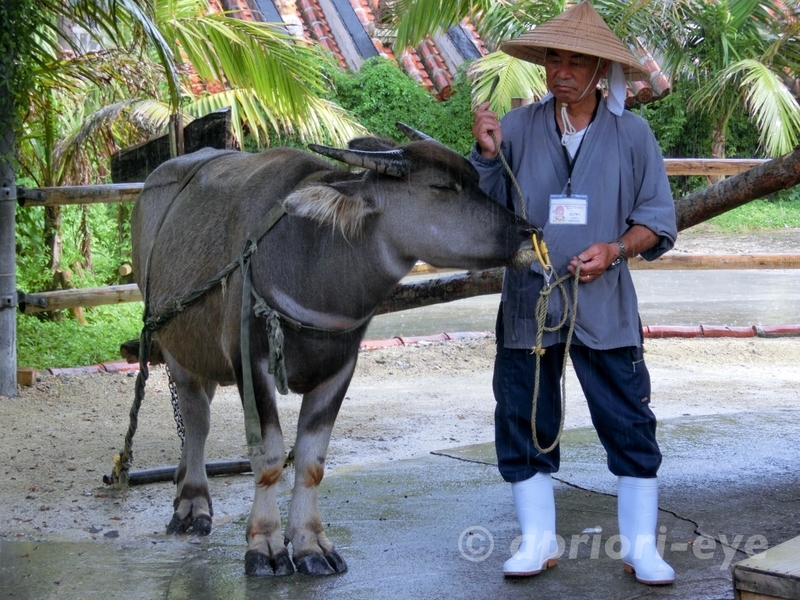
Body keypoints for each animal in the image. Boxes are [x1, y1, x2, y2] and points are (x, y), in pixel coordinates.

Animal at [131, 132, 536, 576]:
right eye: (442, 186)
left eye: (477, 181)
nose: (527, 231)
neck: (315, 264)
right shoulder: (251, 363)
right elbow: (269, 458)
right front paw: (265, 545)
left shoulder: (340, 368)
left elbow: (311, 462)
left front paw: (310, 545)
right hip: (172, 347)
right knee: (196, 419)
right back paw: (192, 504)